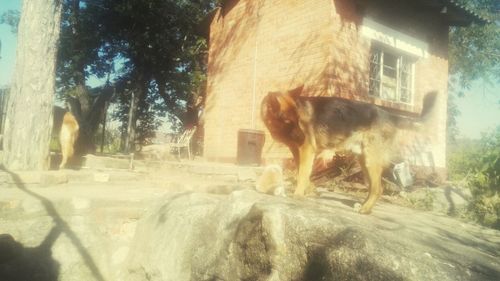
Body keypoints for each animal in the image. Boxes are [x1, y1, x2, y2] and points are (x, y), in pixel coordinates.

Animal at [260, 84, 436, 213]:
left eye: (299, 120)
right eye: (289, 121)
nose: (304, 136)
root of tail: (389, 115)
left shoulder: (306, 150)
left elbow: (302, 173)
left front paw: (298, 194)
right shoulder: (297, 151)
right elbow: (302, 172)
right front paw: (310, 190)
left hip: (371, 161)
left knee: (378, 188)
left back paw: (365, 210)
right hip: (364, 161)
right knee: (373, 187)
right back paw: (364, 205)